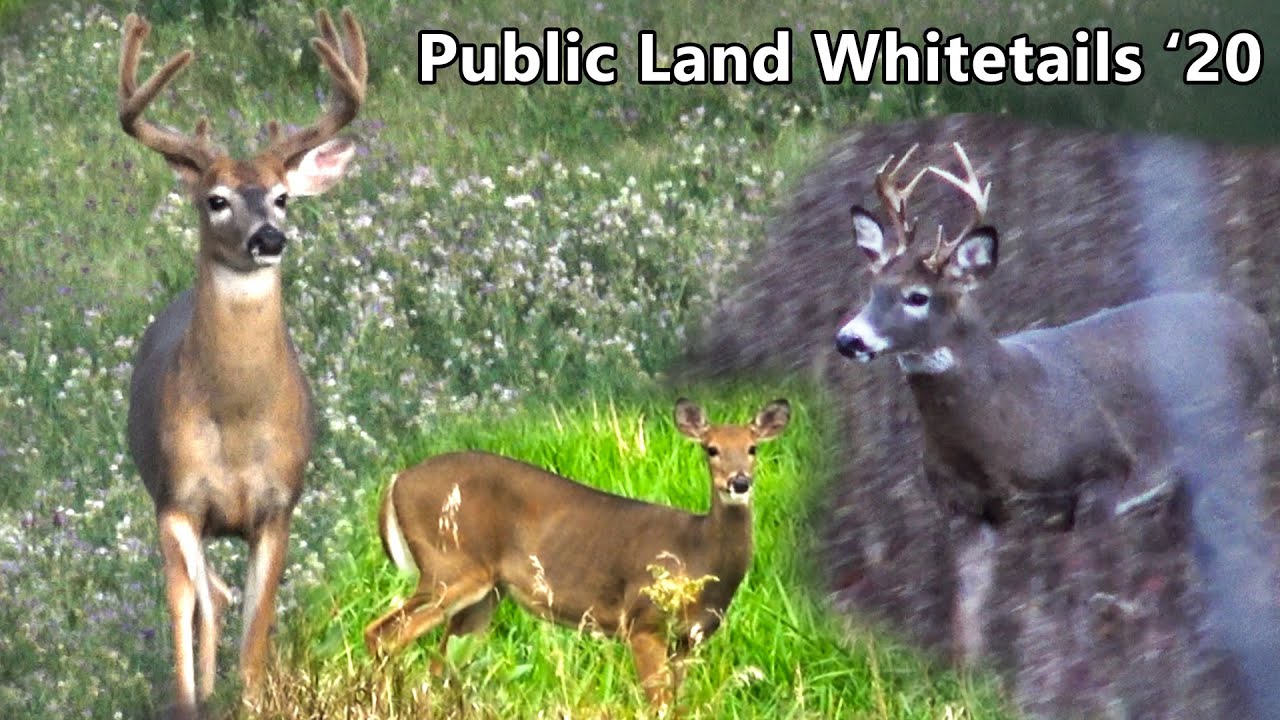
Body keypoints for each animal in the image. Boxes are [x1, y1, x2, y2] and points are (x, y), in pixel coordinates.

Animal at [120, 8, 365, 715]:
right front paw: (193, 696)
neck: (235, 417)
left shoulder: (279, 504)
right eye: (216, 199)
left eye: (283, 196)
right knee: (205, 598)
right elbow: (186, 607)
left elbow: (257, 633)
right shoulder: (175, 497)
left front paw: (249, 695)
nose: (269, 238)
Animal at [362, 398, 791, 708]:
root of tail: (396, 480)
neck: (698, 551)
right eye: (711, 449)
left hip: (484, 595)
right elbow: (659, 704)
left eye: (752, 448)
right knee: (384, 633)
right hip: (450, 566)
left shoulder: (689, 638)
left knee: (439, 663)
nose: (739, 482)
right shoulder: (643, 620)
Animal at [832, 142, 1273, 660]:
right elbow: (967, 617)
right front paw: (968, 675)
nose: (849, 339)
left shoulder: (1104, 475)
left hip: (1223, 440)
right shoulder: (963, 510)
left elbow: (1086, 596)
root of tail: (1257, 327)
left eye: (917, 296)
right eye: (872, 287)